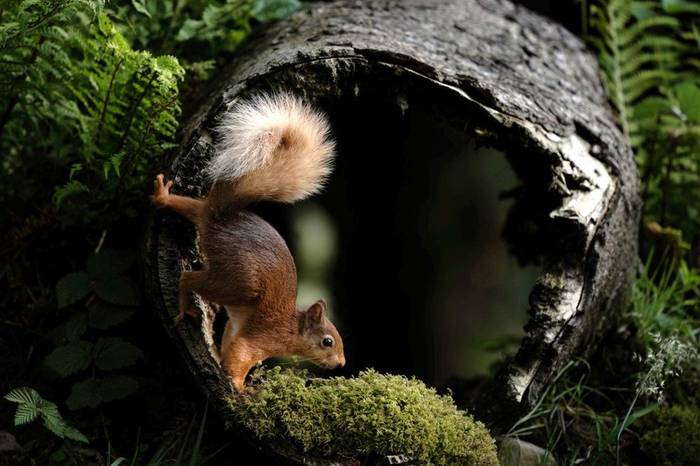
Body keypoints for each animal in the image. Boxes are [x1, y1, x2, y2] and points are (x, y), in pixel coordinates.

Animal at [151, 92, 345, 391]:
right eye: (327, 341)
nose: (341, 364)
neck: (291, 327)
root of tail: (221, 217)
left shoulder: (237, 327)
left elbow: (230, 342)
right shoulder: (263, 336)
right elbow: (241, 354)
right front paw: (239, 386)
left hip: (202, 214)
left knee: (185, 206)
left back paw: (162, 195)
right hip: (238, 282)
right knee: (189, 279)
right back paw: (185, 309)